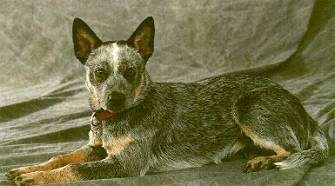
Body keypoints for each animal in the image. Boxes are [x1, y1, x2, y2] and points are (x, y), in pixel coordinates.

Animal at [6, 16, 330, 185]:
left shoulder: (126, 164)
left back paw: (262, 160)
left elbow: (73, 169)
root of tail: (306, 112)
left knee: (293, 149)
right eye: (100, 72)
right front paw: (27, 169)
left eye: (130, 71)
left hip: (248, 108)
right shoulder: (95, 149)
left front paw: (35, 178)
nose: (115, 99)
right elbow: (61, 158)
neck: (113, 120)